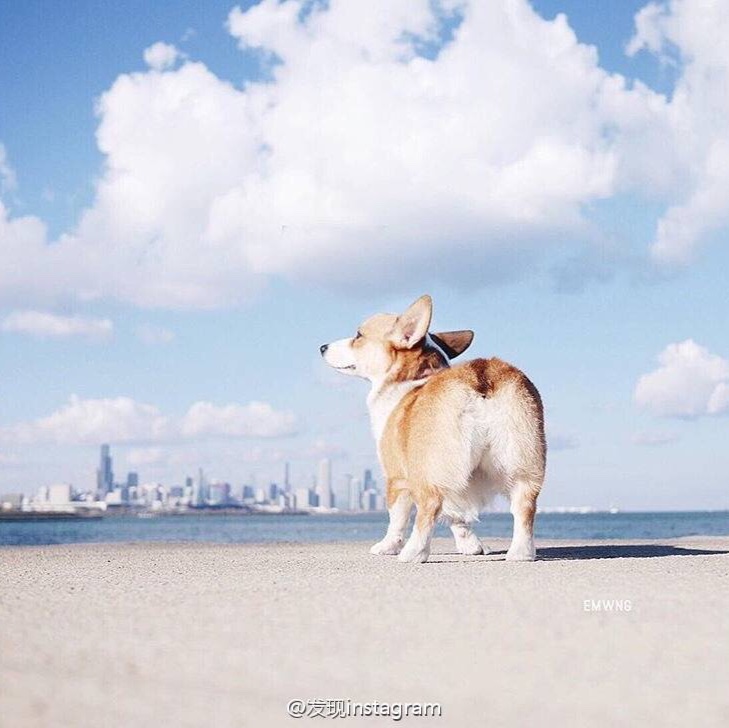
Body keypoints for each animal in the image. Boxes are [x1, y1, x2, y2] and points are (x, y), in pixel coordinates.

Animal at [322, 294, 544, 564]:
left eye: (358, 335)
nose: (322, 347)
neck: (410, 379)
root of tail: (479, 375)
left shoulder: (397, 476)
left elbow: (397, 518)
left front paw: (387, 546)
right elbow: (457, 517)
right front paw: (471, 546)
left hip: (429, 470)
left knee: (429, 506)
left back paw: (413, 553)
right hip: (522, 462)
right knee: (524, 506)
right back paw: (521, 553)